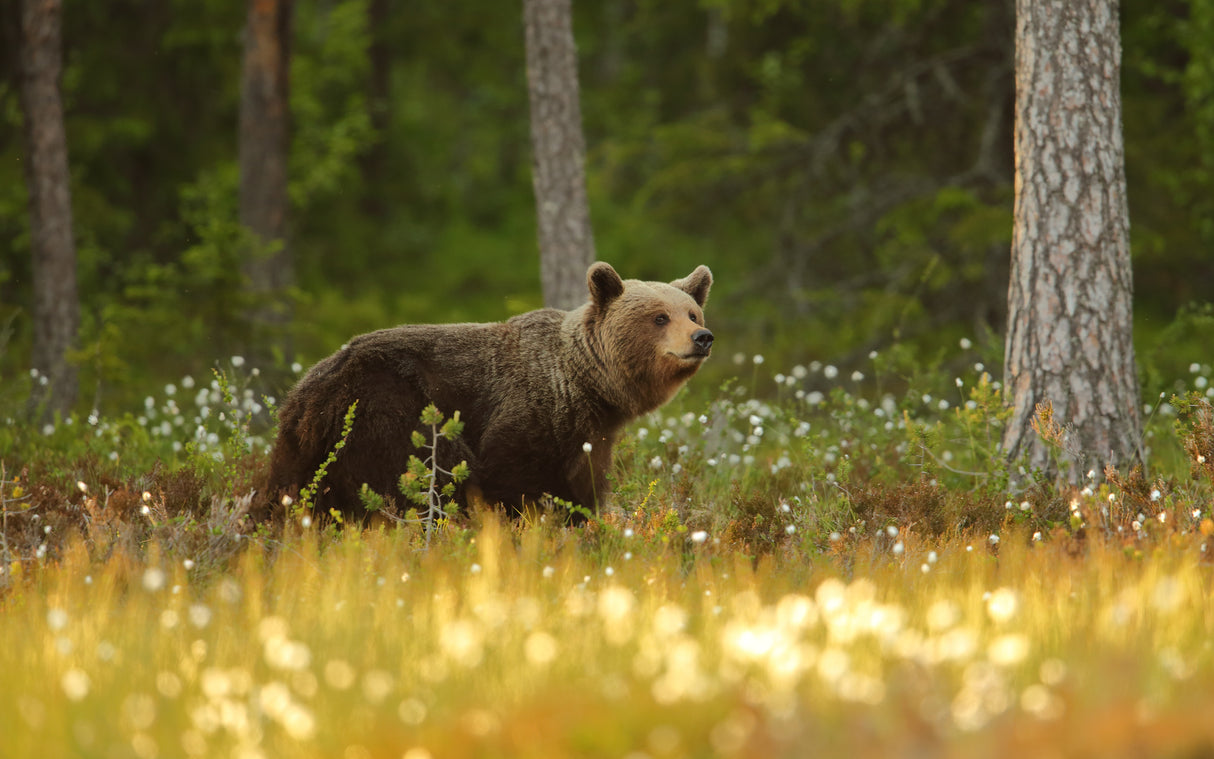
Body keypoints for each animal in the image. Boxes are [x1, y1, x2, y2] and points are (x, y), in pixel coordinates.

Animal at [265, 262, 708, 519]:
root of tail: (307, 389)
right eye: (659, 317)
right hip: (388, 410)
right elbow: (510, 478)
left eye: (692, 312)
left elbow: (585, 486)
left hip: (306, 446)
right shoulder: (528, 413)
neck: (585, 386)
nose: (702, 337)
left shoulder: (588, 435)